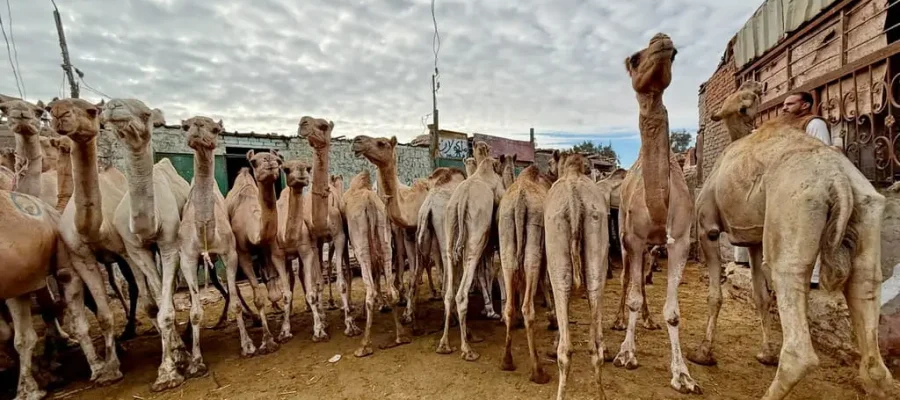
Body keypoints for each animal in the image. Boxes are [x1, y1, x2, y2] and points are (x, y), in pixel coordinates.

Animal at [298, 116, 358, 337]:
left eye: (323, 126)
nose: (303, 123)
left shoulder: (339, 236)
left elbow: (341, 281)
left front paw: (350, 324)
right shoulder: (314, 241)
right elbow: (318, 282)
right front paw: (320, 326)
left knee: (345, 269)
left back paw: (346, 306)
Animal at [342, 170, 409, 356]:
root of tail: (369, 203)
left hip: (361, 246)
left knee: (370, 291)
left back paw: (364, 345)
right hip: (385, 241)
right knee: (391, 289)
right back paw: (400, 336)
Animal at [435, 155, 506, 361]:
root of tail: (461, 202)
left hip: (450, 238)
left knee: (449, 293)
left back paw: (444, 345)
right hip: (475, 237)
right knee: (461, 294)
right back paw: (467, 350)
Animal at [497, 163, 554, 384]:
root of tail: (520, 203)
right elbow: (545, 281)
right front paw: (552, 318)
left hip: (505, 238)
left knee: (510, 305)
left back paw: (507, 361)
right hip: (534, 239)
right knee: (528, 306)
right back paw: (538, 371)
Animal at [687, 81, 894, 400]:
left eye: (745, 96)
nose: (758, 85)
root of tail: (837, 179)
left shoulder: (706, 227)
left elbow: (715, 295)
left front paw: (703, 353)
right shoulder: (754, 239)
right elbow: (760, 296)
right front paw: (765, 354)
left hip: (794, 209)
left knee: (799, 342)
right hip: (866, 210)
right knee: (865, 290)